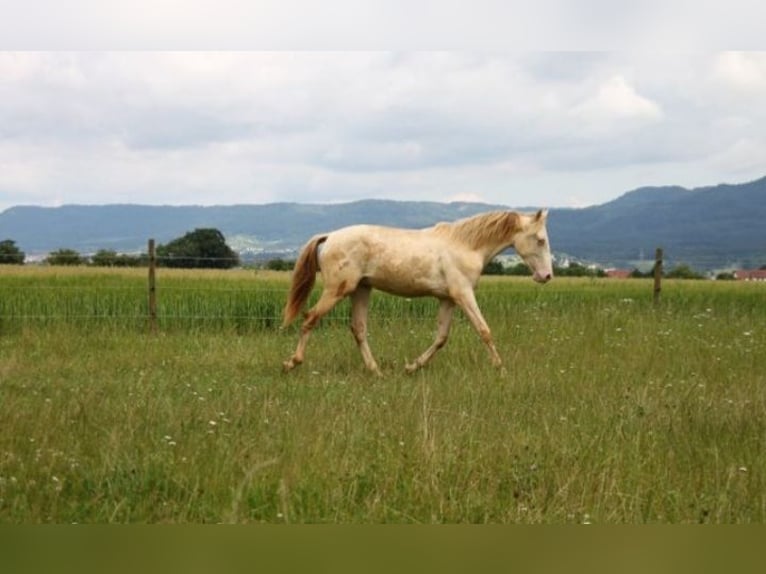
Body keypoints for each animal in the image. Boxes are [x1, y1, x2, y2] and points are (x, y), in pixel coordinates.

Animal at [282, 209, 552, 376]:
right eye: (540, 240)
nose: (547, 276)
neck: (466, 246)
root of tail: (329, 237)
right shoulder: (463, 294)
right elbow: (484, 330)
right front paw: (500, 369)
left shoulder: (448, 299)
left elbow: (441, 338)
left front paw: (411, 367)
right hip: (338, 290)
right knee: (310, 318)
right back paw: (292, 362)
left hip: (361, 289)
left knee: (358, 329)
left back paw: (376, 371)